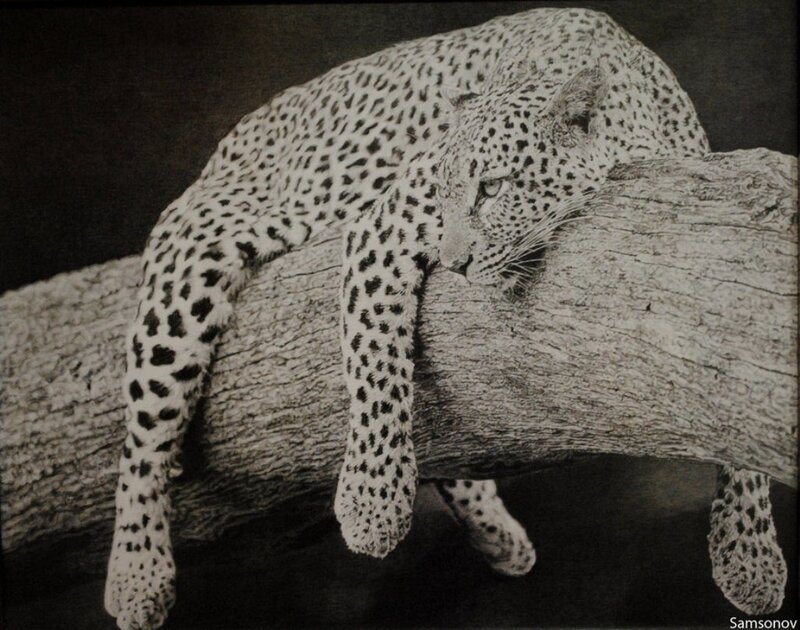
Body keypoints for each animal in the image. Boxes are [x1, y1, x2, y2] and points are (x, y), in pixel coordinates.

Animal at [104, 8, 787, 629]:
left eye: (493, 188)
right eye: (441, 191)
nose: (455, 262)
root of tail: (230, 141)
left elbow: (738, 403)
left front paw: (748, 557)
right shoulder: (380, 230)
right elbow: (375, 360)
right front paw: (372, 505)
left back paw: (500, 537)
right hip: (187, 272)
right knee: (142, 440)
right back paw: (136, 577)